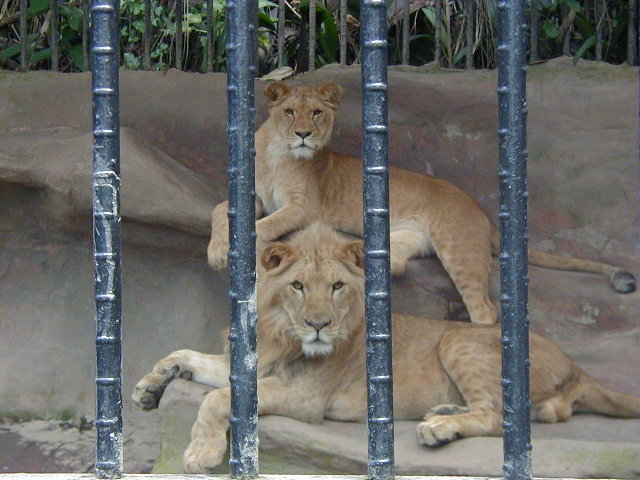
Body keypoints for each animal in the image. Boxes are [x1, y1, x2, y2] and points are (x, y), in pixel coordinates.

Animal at [134, 224, 640, 474]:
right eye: (298, 286)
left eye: (337, 287)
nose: (319, 326)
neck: (280, 331)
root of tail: (577, 364)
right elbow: (185, 354)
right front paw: (150, 385)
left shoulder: (305, 398)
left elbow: (218, 399)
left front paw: (201, 453)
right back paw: (445, 412)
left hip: (457, 338)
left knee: (501, 419)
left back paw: (440, 428)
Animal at [206, 81, 636, 325]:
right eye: (290, 111)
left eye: (316, 112)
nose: (303, 134)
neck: (277, 152)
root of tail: (483, 213)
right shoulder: (254, 195)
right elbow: (219, 210)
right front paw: (215, 251)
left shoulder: (304, 207)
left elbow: (261, 225)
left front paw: (235, 248)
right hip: (406, 237)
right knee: (396, 264)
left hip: (459, 251)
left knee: (485, 311)